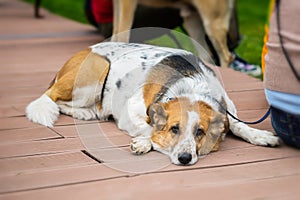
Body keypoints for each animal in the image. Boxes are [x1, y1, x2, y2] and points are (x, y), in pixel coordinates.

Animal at [25, 41, 278, 165]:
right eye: (174, 129)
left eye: (200, 132)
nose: (185, 159)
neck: (193, 87)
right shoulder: (132, 111)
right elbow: (150, 130)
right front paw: (145, 143)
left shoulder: (227, 108)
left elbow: (238, 125)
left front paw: (260, 135)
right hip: (98, 68)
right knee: (51, 97)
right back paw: (84, 113)